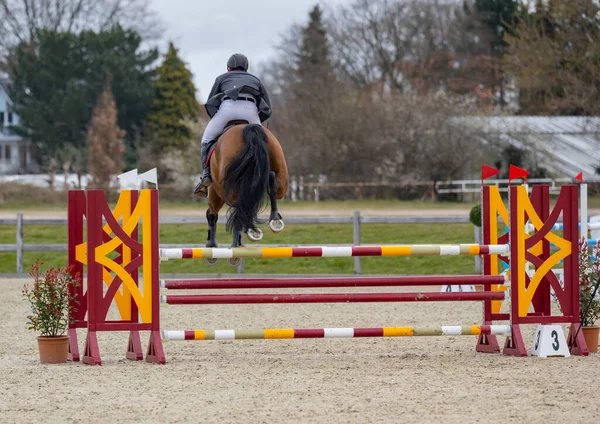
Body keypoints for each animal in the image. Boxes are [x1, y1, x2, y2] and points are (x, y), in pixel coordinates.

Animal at [199, 121, 288, 264]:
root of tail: (249, 128)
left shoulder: (216, 190)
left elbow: (214, 213)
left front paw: (213, 246)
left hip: (222, 189)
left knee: (229, 209)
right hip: (281, 176)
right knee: (271, 182)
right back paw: (273, 220)